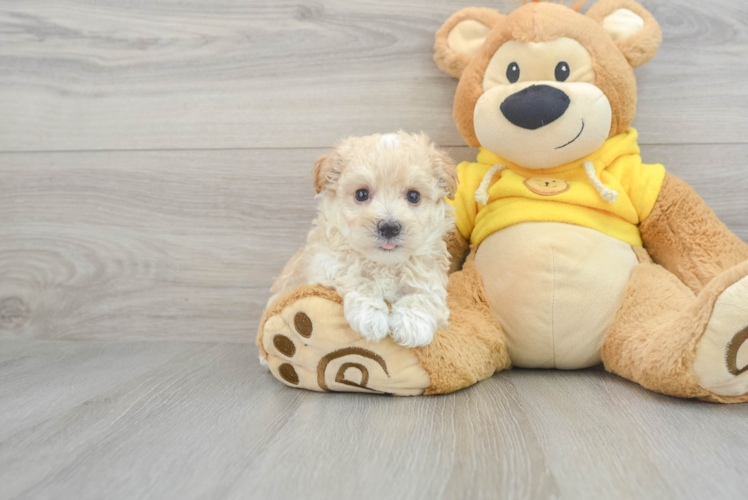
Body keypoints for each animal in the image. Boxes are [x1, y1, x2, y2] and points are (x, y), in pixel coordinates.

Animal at [268, 131, 456, 346]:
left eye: (414, 196)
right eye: (362, 194)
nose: (389, 227)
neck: (384, 264)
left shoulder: (430, 271)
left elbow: (425, 292)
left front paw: (412, 324)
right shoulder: (326, 264)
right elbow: (355, 277)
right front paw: (371, 316)